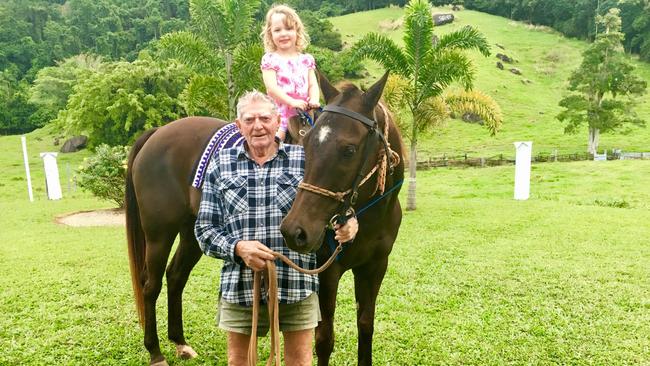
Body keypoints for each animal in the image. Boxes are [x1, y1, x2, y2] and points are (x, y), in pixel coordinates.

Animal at [126, 116, 312, 364]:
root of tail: (156, 133)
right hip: (159, 234)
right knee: (150, 285)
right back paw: (155, 352)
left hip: (191, 233)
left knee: (175, 276)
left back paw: (180, 343)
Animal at [280, 73, 402, 364]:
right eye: (307, 144)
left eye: (349, 150)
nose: (295, 231)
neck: (370, 220)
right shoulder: (327, 270)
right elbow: (324, 338)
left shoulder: (375, 267)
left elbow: (366, 326)